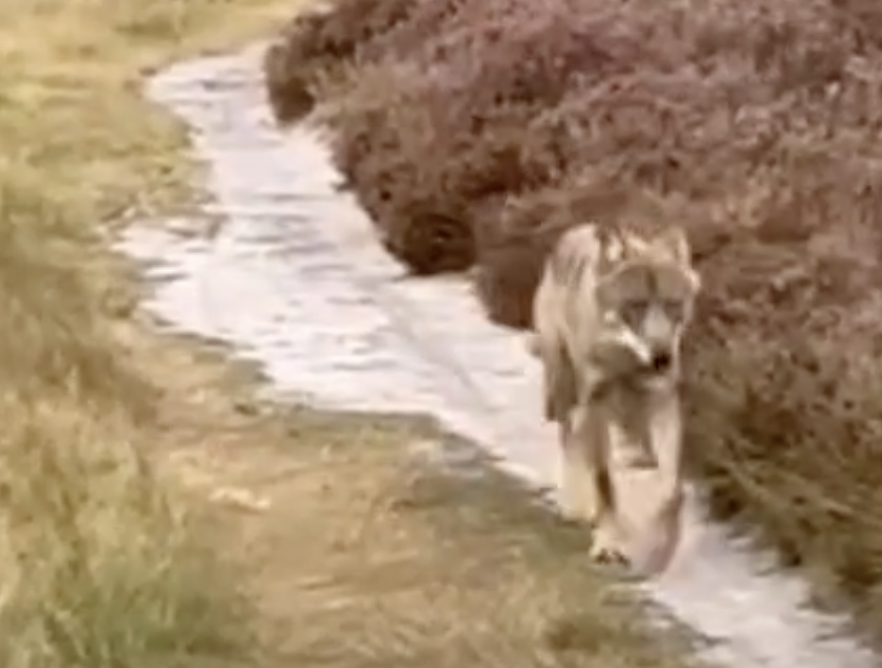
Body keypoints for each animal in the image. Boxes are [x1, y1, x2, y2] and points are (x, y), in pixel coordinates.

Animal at [528, 223, 701, 570]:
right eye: (635, 305)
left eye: (672, 304)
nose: (662, 358)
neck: (625, 362)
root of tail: (574, 232)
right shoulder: (596, 405)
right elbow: (606, 483)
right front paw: (610, 544)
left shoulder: (661, 401)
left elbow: (670, 487)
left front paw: (661, 547)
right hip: (565, 390)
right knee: (569, 439)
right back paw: (576, 506)